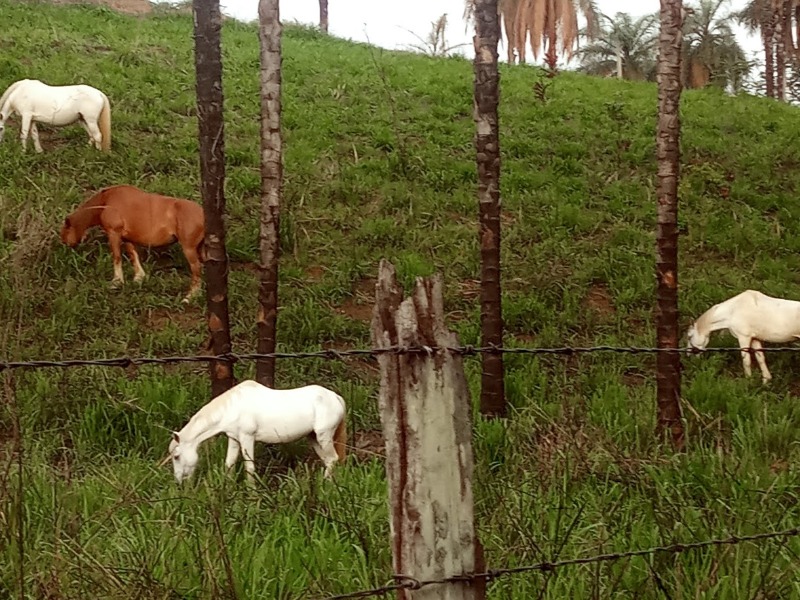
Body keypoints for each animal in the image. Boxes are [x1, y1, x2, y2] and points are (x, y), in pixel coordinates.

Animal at [61, 185, 206, 302]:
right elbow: (133, 256)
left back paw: (190, 297)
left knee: (196, 269)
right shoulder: (127, 239)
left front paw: (117, 282)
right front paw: (138, 278)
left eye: (65, 231)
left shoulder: (114, 234)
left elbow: (117, 257)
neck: (106, 202)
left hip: (189, 249)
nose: (66, 244)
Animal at [161, 382, 348, 486]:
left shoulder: (247, 438)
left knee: (332, 459)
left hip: (324, 436)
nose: (179, 482)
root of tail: (336, 397)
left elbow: (249, 468)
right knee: (329, 461)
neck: (232, 407)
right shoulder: (234, 438)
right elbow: (229, 464)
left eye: (176, 456)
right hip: (313, 438)